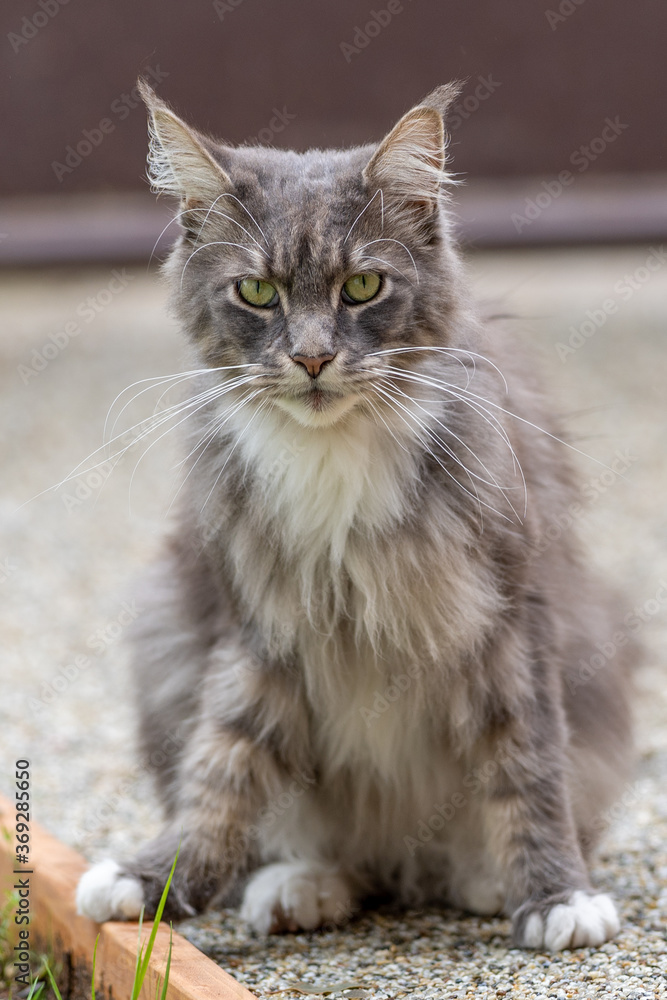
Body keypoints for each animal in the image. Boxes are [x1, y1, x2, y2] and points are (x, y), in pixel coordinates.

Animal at [75, 82, 636, 948]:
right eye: (257, 293)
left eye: (363, 288)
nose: (311, 357)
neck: (332, 453)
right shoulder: (258, 624)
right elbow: (223, 765)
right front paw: (152, 878)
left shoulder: (508, 612)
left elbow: (527, 760)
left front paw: (554, 896)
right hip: (166, 633)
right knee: (330, 847)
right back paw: (301, 885)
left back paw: (477, 877)